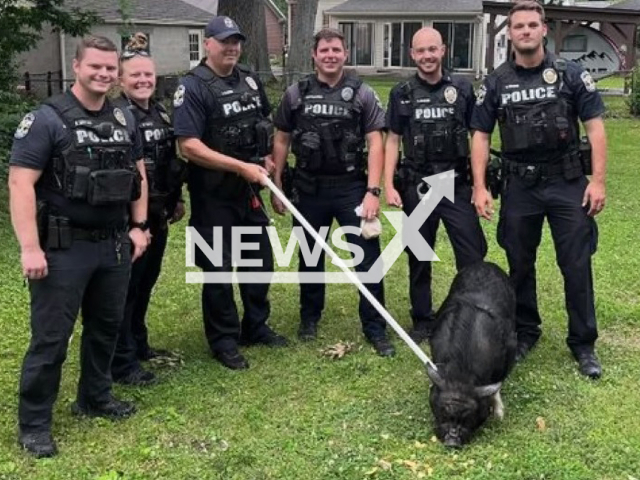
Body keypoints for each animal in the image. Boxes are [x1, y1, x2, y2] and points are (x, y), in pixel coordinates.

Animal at [428, 262, 516, 446]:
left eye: (468, 418)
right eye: (443, 412)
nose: (452, 441)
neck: (462, 372)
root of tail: (487, 263)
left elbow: (497, 387)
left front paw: (499, 416)